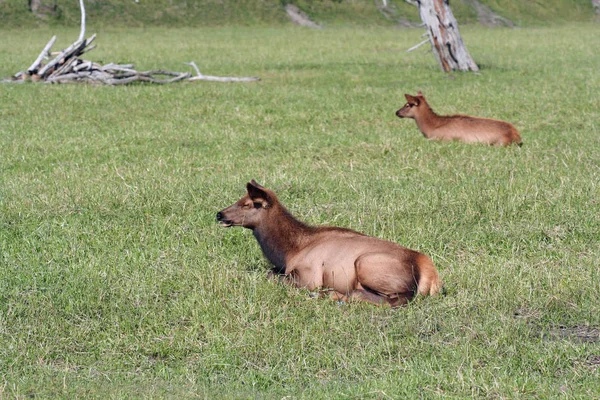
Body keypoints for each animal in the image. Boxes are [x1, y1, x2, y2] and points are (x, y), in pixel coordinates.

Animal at [217, 180, 440, 308]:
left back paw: (335, 296)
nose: (219, 214)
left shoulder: (309, 276)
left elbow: (272, 276)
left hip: (365, 263)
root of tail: (430, 274)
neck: (287, 252)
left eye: (249, 204)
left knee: (397, 299)